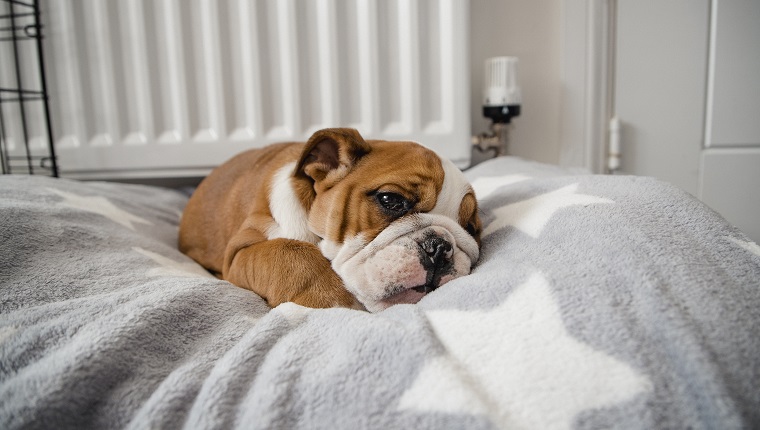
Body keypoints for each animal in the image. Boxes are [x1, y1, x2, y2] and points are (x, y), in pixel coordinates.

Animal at [178, 127, 480, 312]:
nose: (439, 246)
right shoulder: (240, 250)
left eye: (471, 228)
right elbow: (288, 252)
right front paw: (334, 299)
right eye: (390, 200)